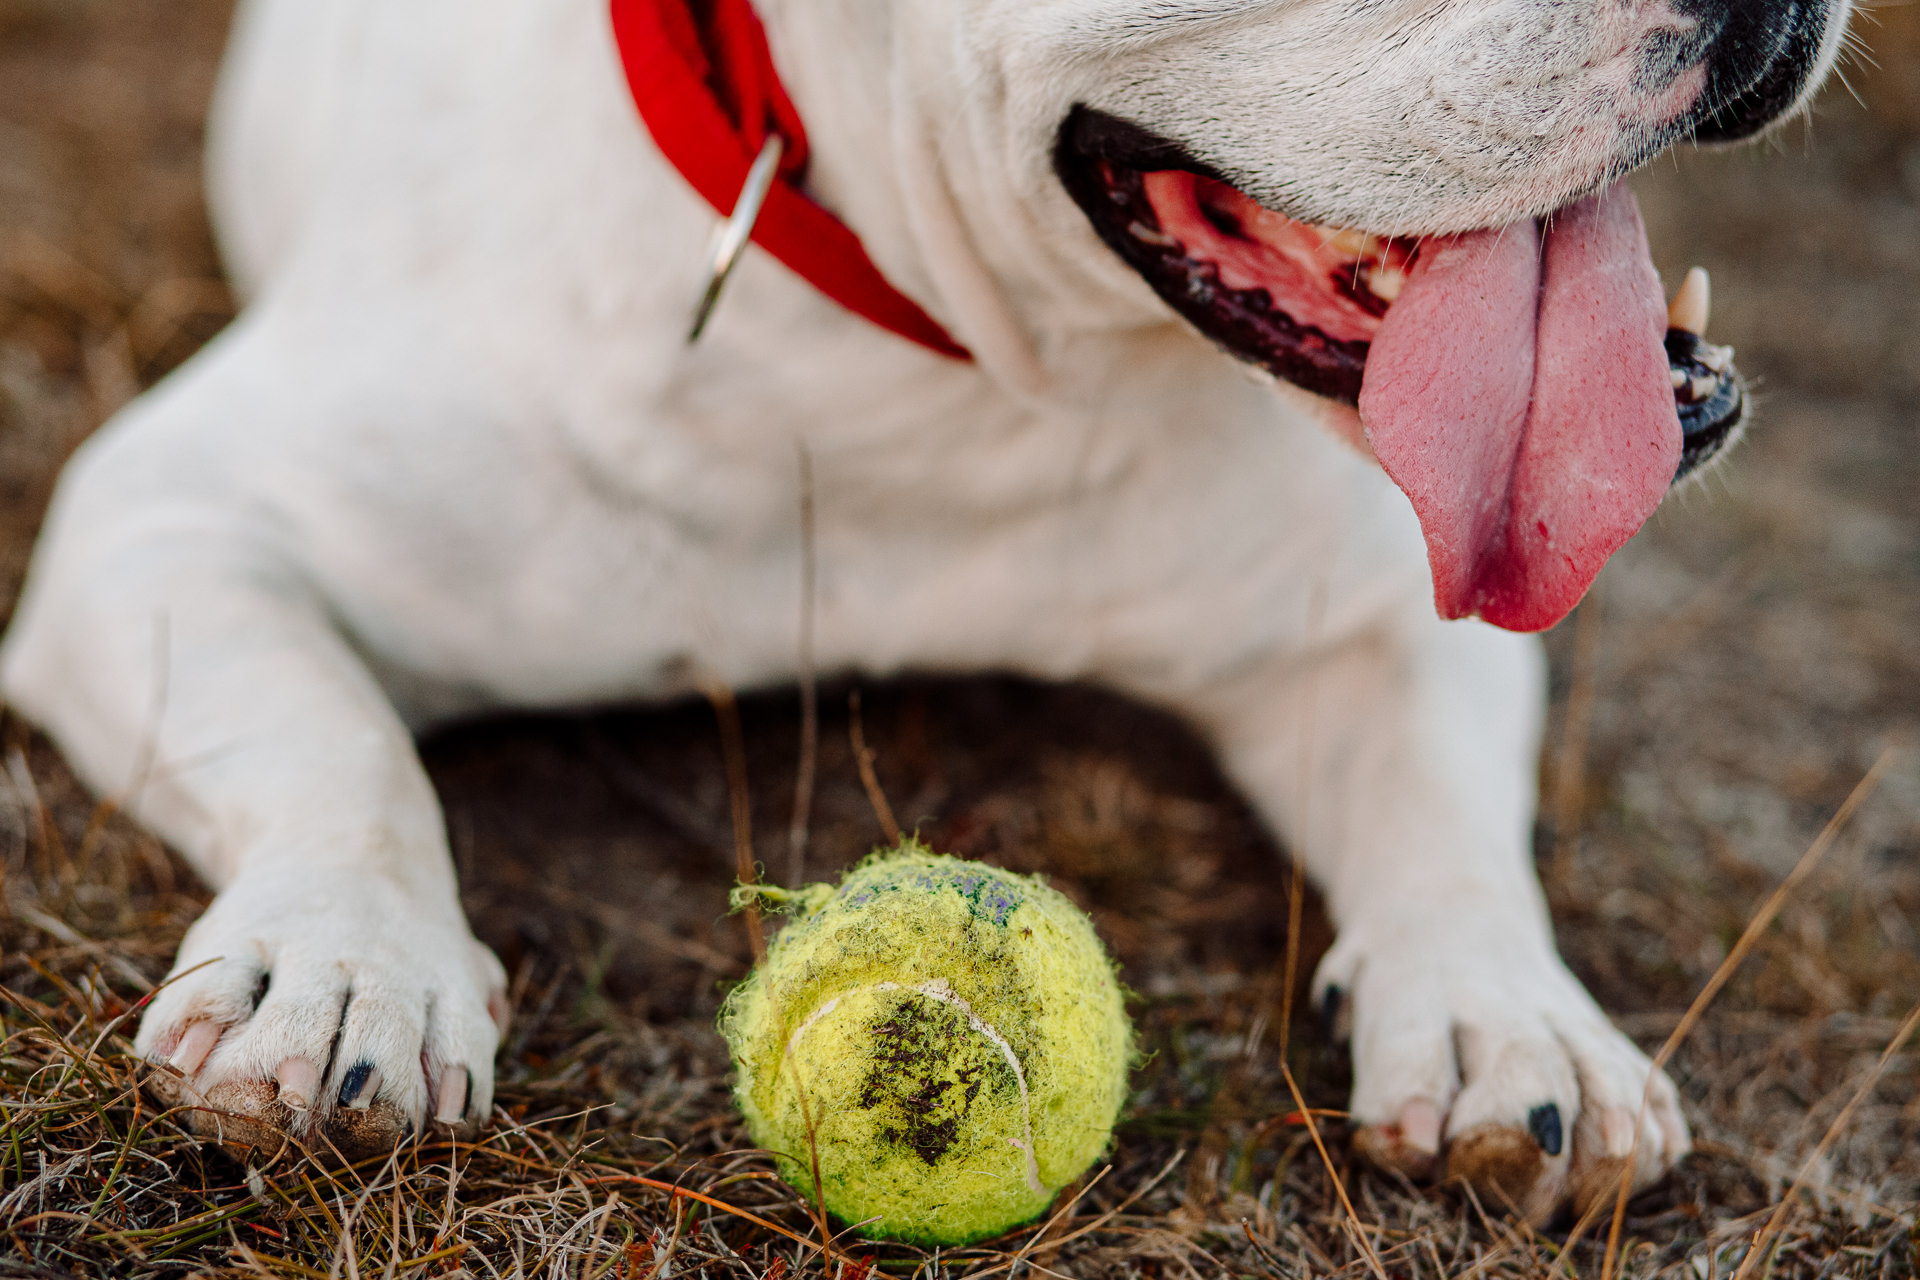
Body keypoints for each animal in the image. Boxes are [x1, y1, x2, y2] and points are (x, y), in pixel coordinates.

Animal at [7, 0, 1850, 1228]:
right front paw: (338, 967)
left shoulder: (1385, 608)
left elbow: (1447, 825)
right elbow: (343, 756)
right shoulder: (173, 522)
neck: (961, 351)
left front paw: (1506, 1018)